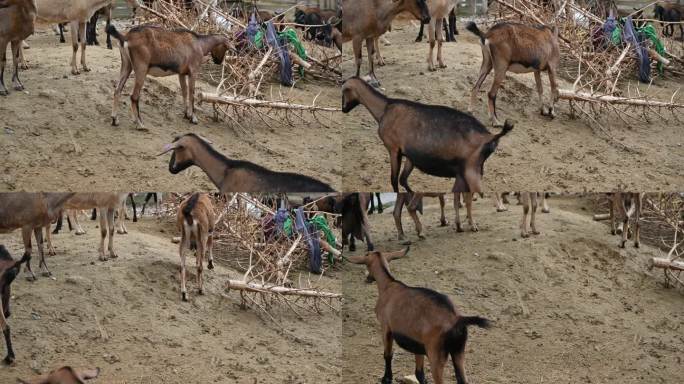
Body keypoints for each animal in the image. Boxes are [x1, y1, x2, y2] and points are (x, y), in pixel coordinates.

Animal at [342, 77, 512, 194]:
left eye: (344, 92)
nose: (343, 109)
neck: (385, 108)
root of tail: (490, 137)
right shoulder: (410, 155)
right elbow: (403, 180)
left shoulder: (393, 149)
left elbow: (394, 180)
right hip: (465, 174)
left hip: (471, 171)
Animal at [348, 248, 492, 382]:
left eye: (367, 264)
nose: (368, 279)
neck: (388, 285)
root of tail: (457, 319)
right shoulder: (417, 344)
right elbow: (419, 374)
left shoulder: (386, 327)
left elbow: (388, 355)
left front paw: (386, 379)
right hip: (458, 351)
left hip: (436, 355)